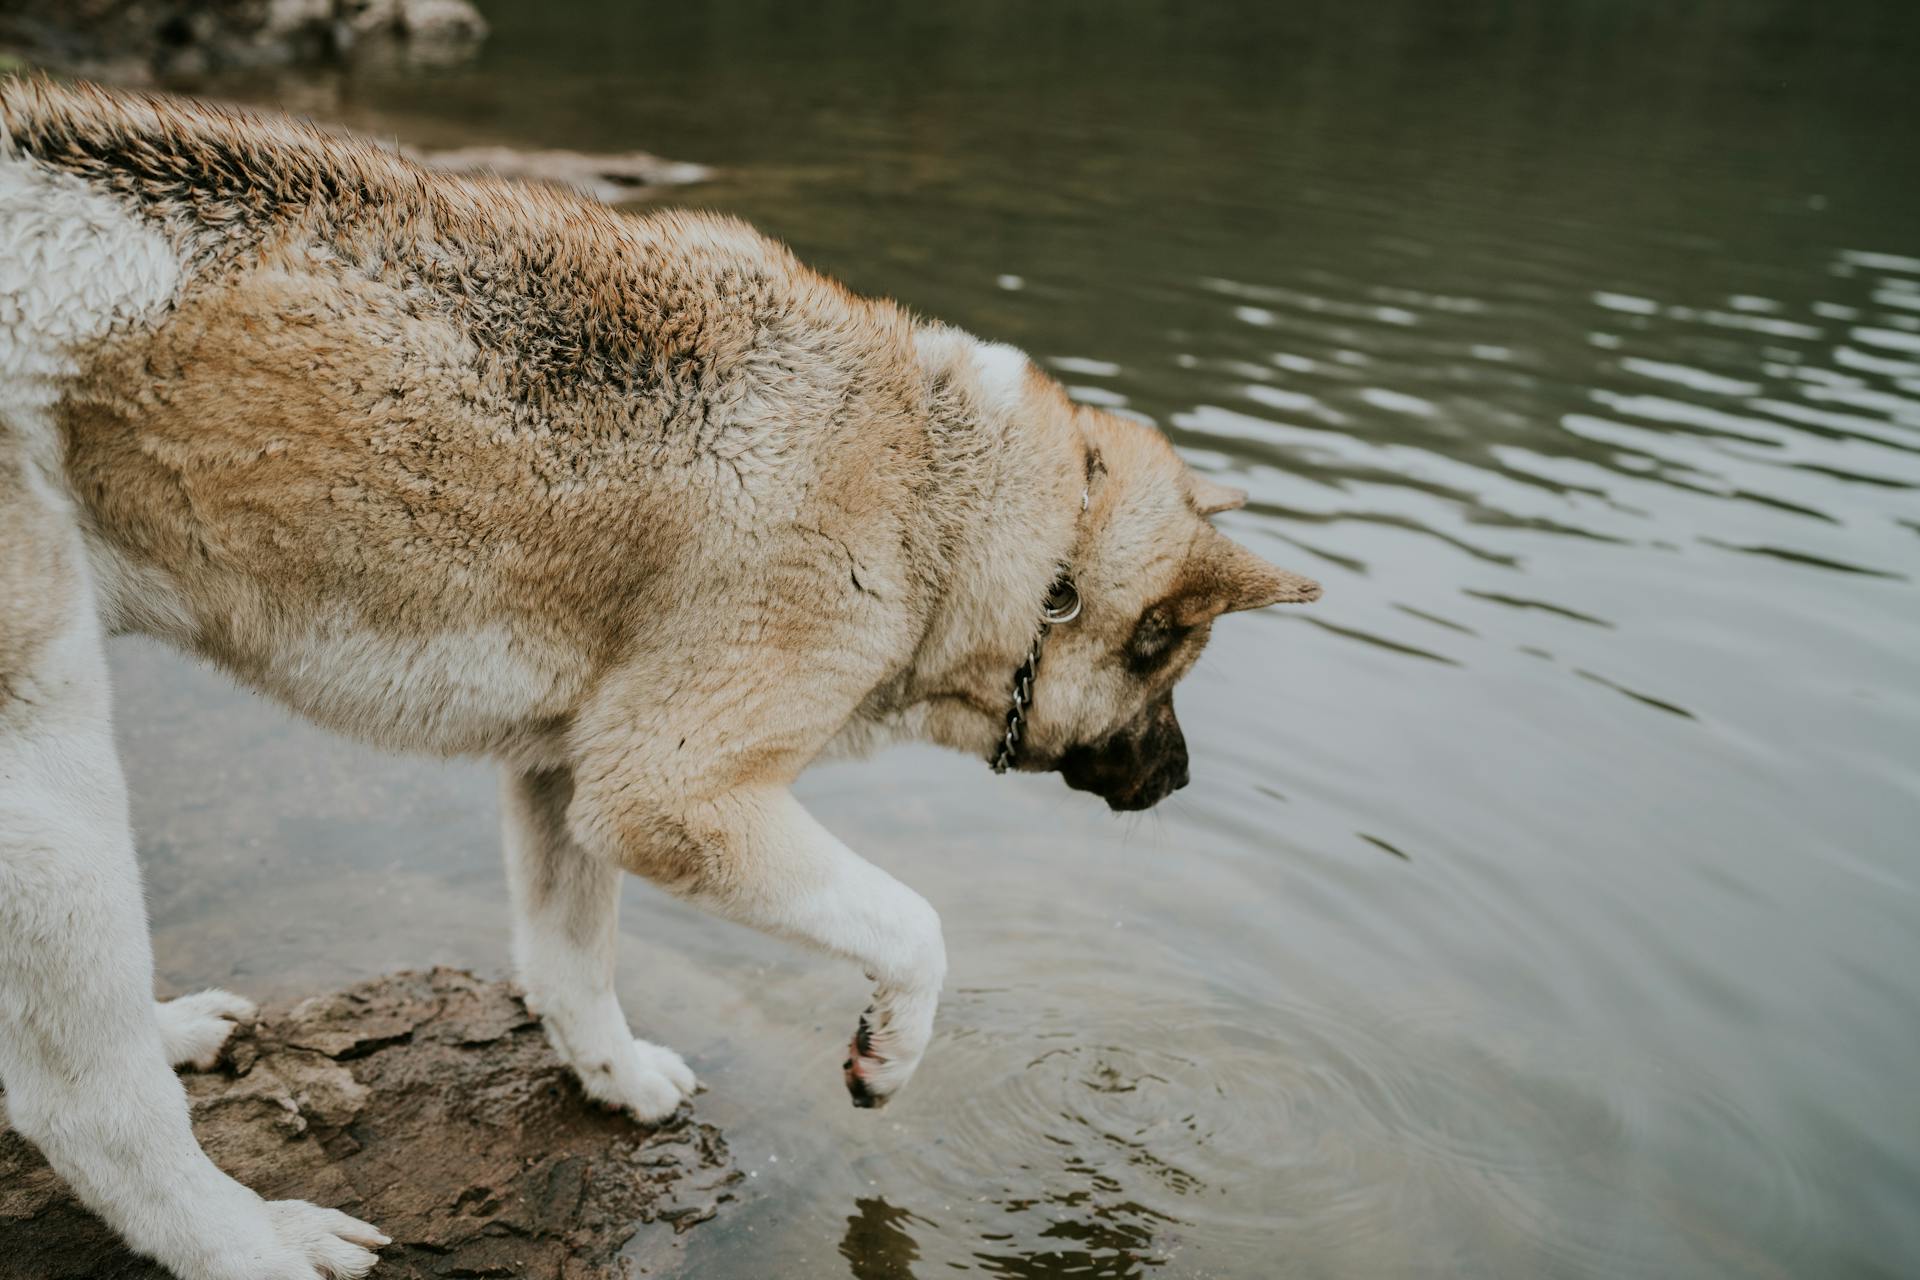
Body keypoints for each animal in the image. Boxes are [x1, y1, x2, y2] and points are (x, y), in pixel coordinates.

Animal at [0, 80, 1320, 1280]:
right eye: (1171, 673)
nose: (1181, 778)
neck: (947, 489)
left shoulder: (562, 774)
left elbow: (570, 962)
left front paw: (614, 1075)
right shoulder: (668, 793)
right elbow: (918, 926)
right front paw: (889, 1051)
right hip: (56, 794)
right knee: (89, 1102)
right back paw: (252, 1240)